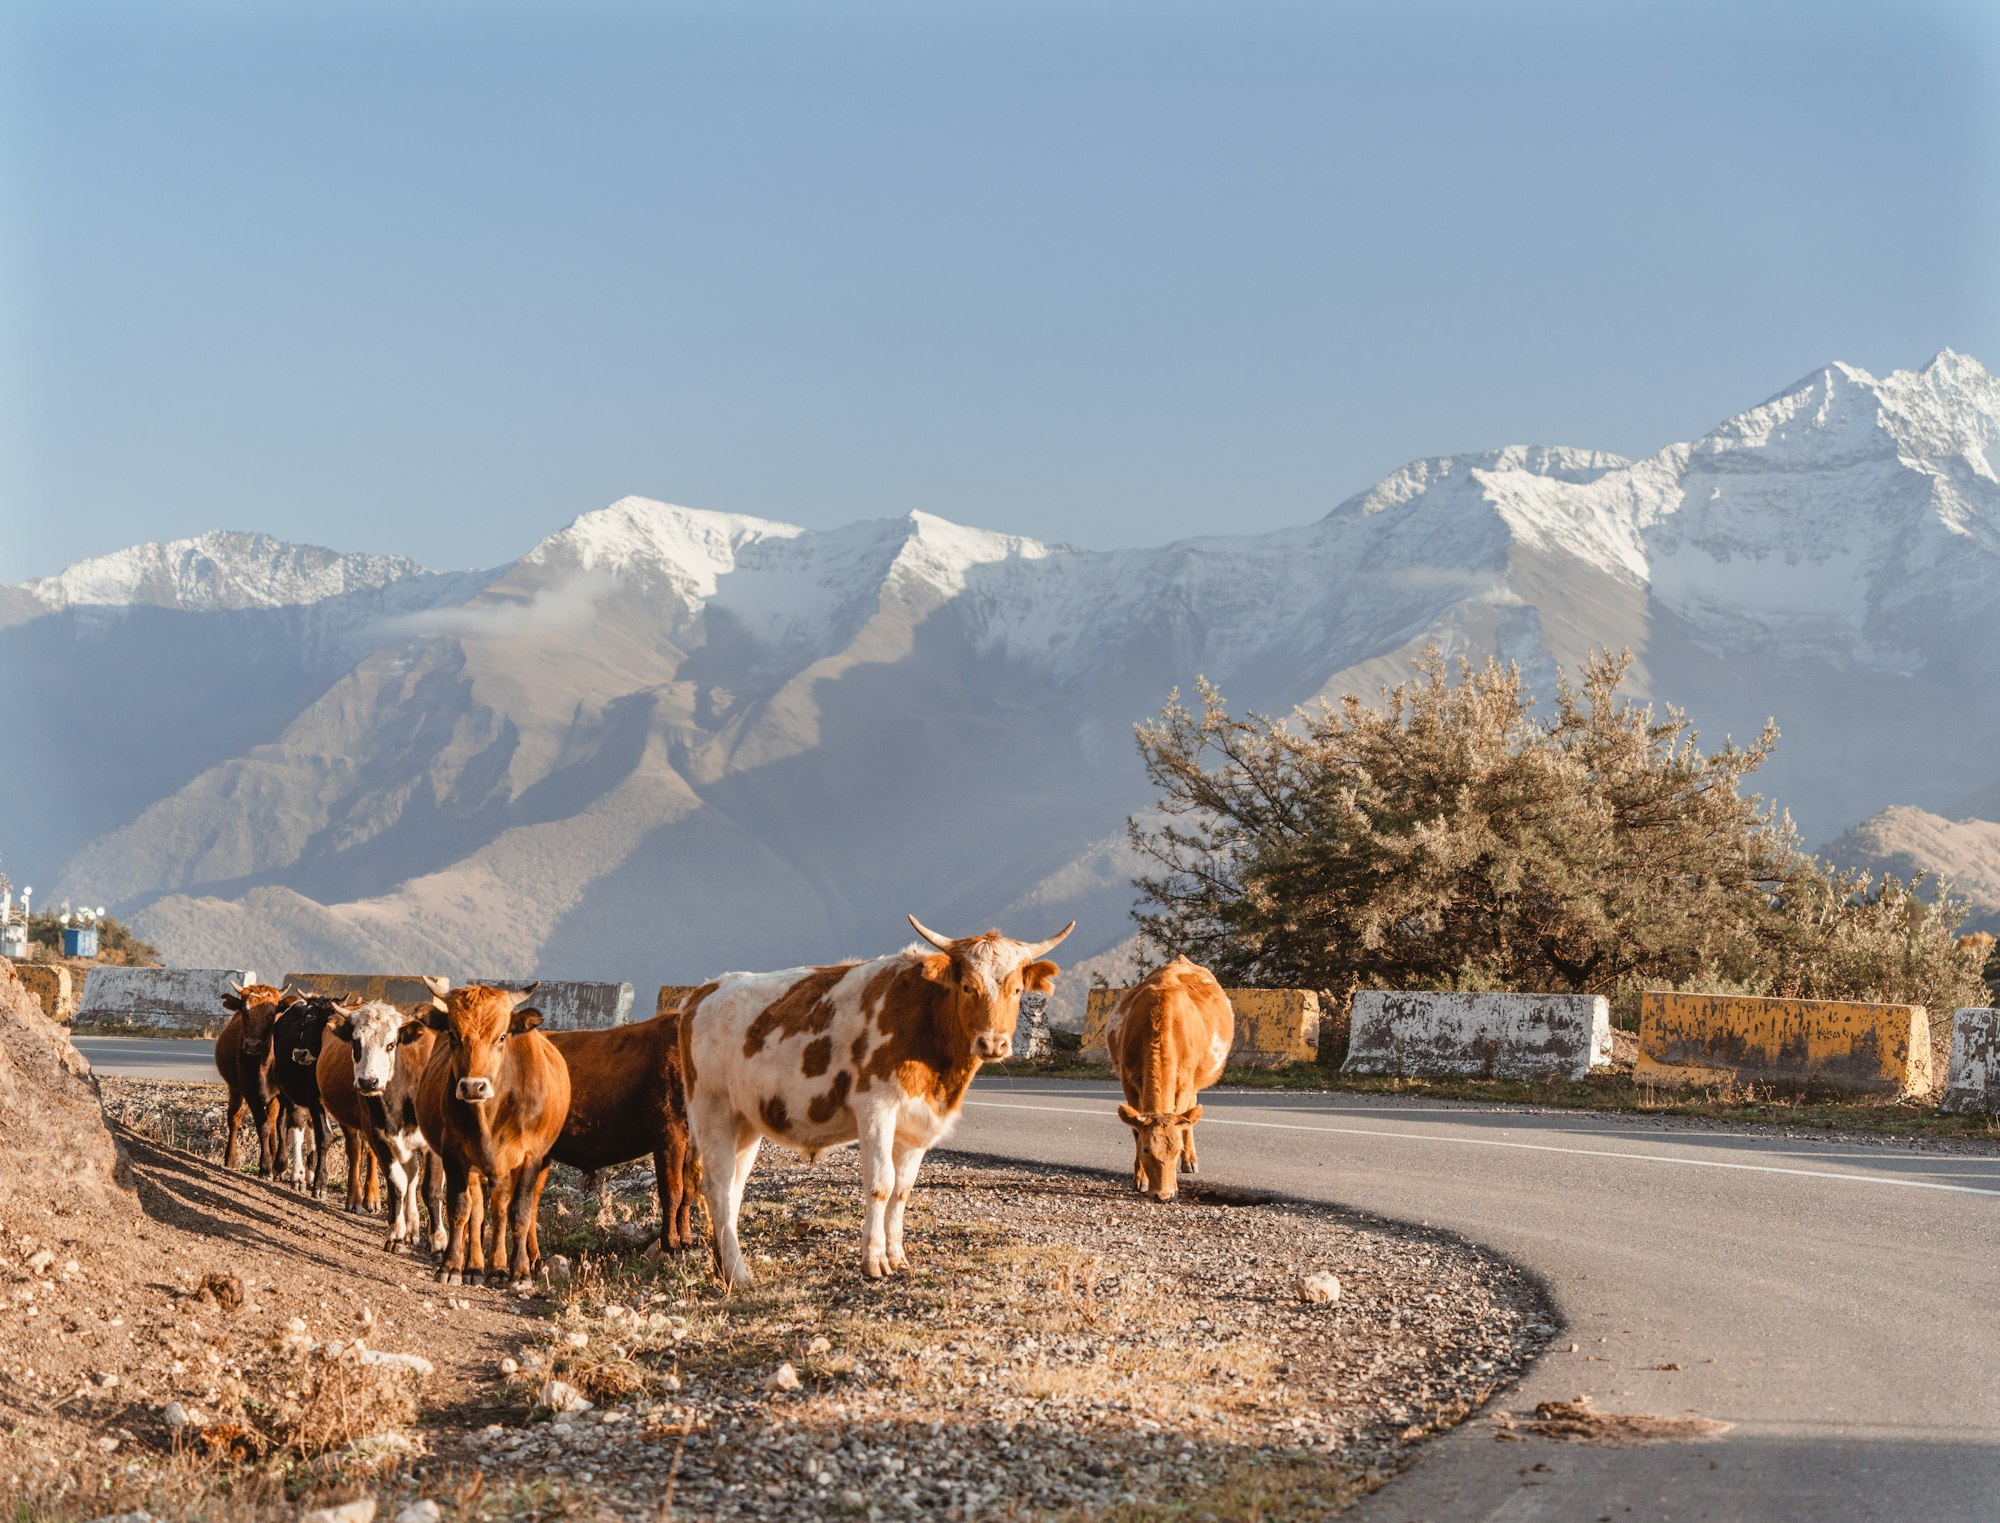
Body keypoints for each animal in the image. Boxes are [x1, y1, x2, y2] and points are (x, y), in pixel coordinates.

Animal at [322, 991, 448, 1255]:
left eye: (391, 1044)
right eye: (356, 1043)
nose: (368, 1082)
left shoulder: (433, 1144)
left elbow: (431, 1189)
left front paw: (439, 1241)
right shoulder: (379, 1136)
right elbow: (397, 1184)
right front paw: (396, 1235)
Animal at [414, 971, 572, 1279]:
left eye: (501, 1036)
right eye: (453, 1035)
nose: (473, 1087)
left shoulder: (531, 1156)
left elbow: (518, 1212)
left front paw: (519, 1272)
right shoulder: (454, 1154)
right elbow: (461, 1209)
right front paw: (452, 1265)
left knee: (500, 1210)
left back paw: (498, 1267)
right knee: (477, 1212)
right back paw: (475, 1266)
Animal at [680, 915, 1072, 1279]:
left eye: (1017, 990)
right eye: (966, 986)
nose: (993, 1043)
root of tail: (705, 991)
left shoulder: (917, 1124)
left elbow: (902, 1189)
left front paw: (897, 1256)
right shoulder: (875, 1108)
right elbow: (881, 1184)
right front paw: (873, 1261)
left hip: (746, 1121)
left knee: (733, 1189)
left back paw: (724, 1267)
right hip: (711, 1109)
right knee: (715, 1186)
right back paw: (739, 1273)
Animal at [1112, 951, 1232, 1199]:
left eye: (1176, 1150)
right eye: (1146, 1149)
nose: (1163, 1194)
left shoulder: (1184, 1083)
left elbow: (1181, 1118)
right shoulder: (1128, 1082)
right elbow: (1136, 1130)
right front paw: (1140, 1179)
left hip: (1194, 1080)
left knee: (1190, 1112)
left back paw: (1191, 1161)